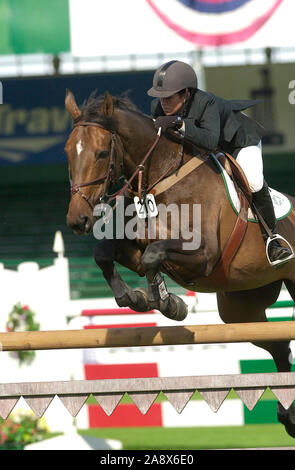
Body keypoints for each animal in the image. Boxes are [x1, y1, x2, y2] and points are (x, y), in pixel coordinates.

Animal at [65, 89, 295, 436]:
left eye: (103, 153)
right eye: (68, 152)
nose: (77, 221)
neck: (161, 177)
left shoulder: (204, 257)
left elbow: (154, 254)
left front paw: (166, 302)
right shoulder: (136, 246)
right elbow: (108, 254)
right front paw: (141, 298)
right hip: (242, 307)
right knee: (278, 345)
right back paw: (288, 415)